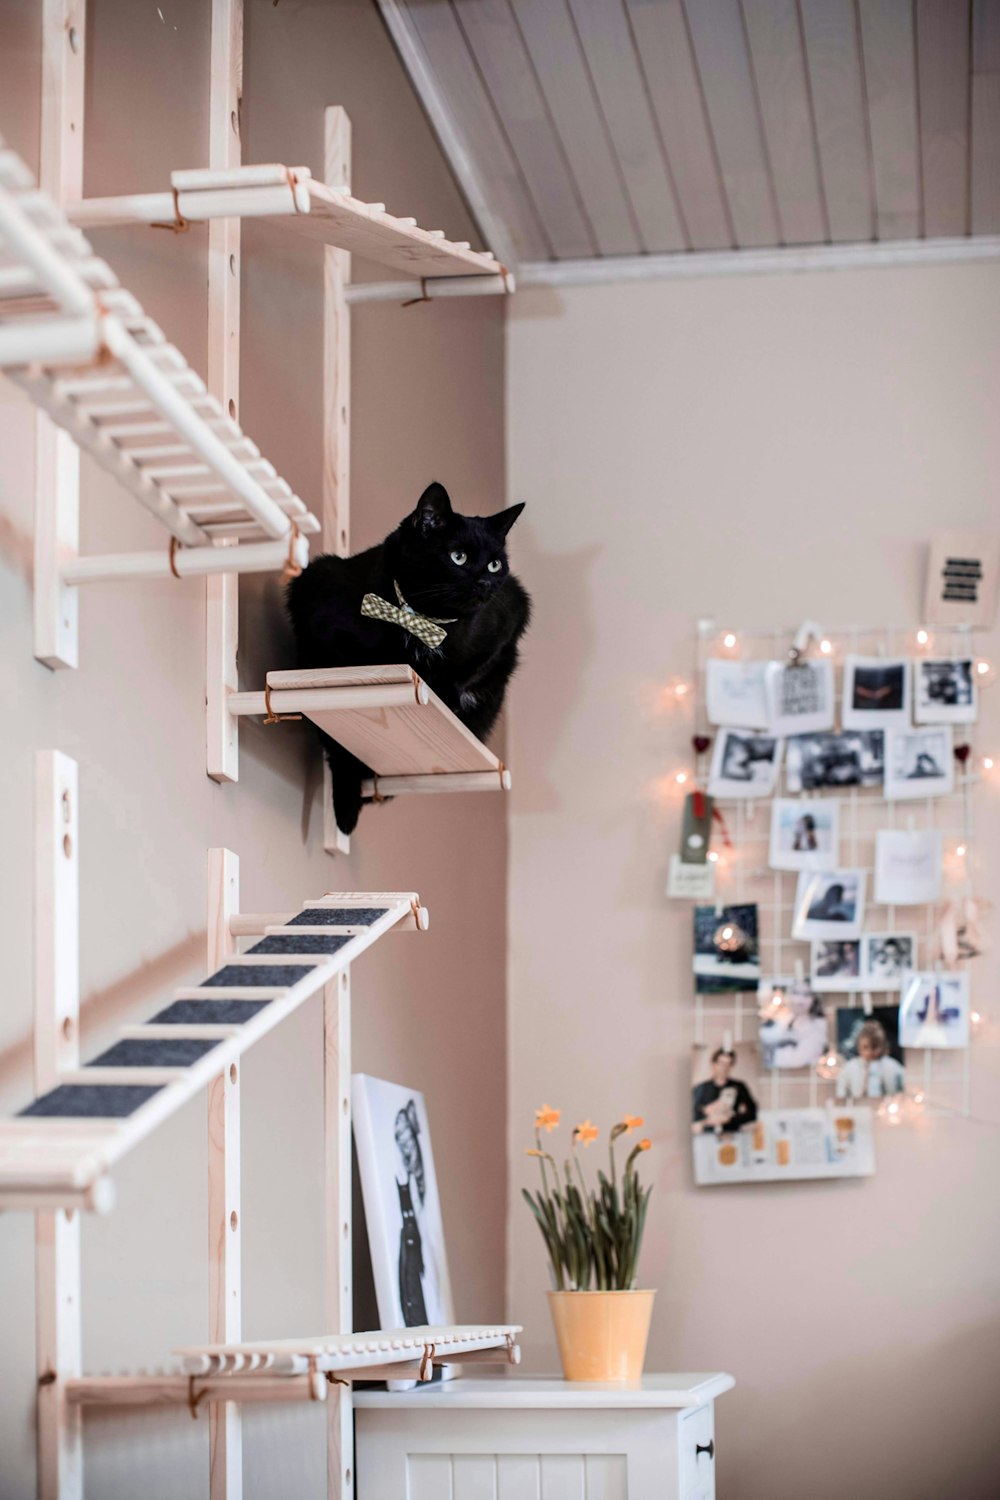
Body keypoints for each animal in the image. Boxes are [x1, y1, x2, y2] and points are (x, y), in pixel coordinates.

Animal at [284, 480, 527, 834]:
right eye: (458, 557)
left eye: (495, 564)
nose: (484, 581)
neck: (423, 619)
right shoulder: (319, 611)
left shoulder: (510, 616)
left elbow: (465, 670)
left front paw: (446, 697)